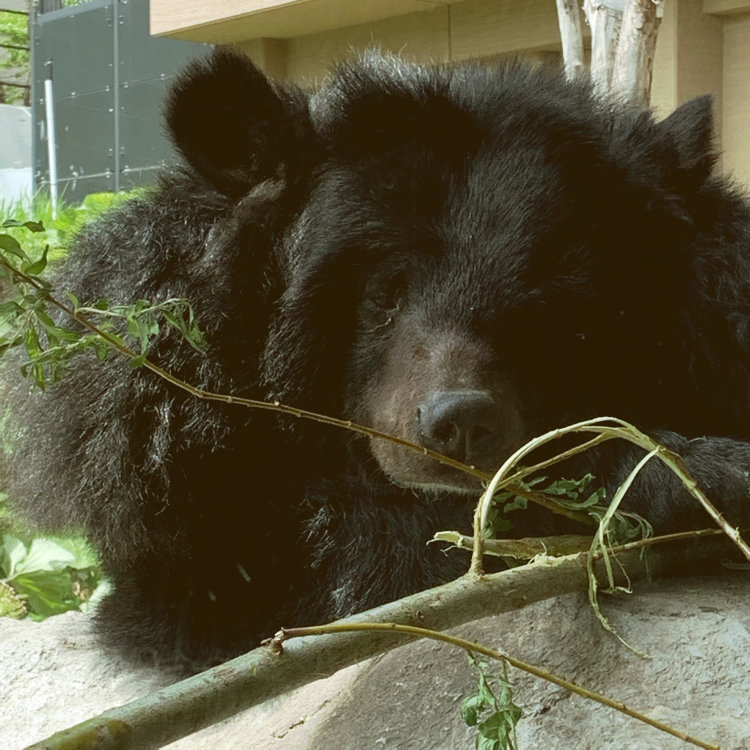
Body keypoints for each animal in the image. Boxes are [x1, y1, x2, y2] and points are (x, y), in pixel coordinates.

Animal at [3, 48, 750, 673]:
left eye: (545, 313)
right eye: (381, 294)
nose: (461, 423)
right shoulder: (151, 448)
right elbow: (320, 568)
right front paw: (693, 479)